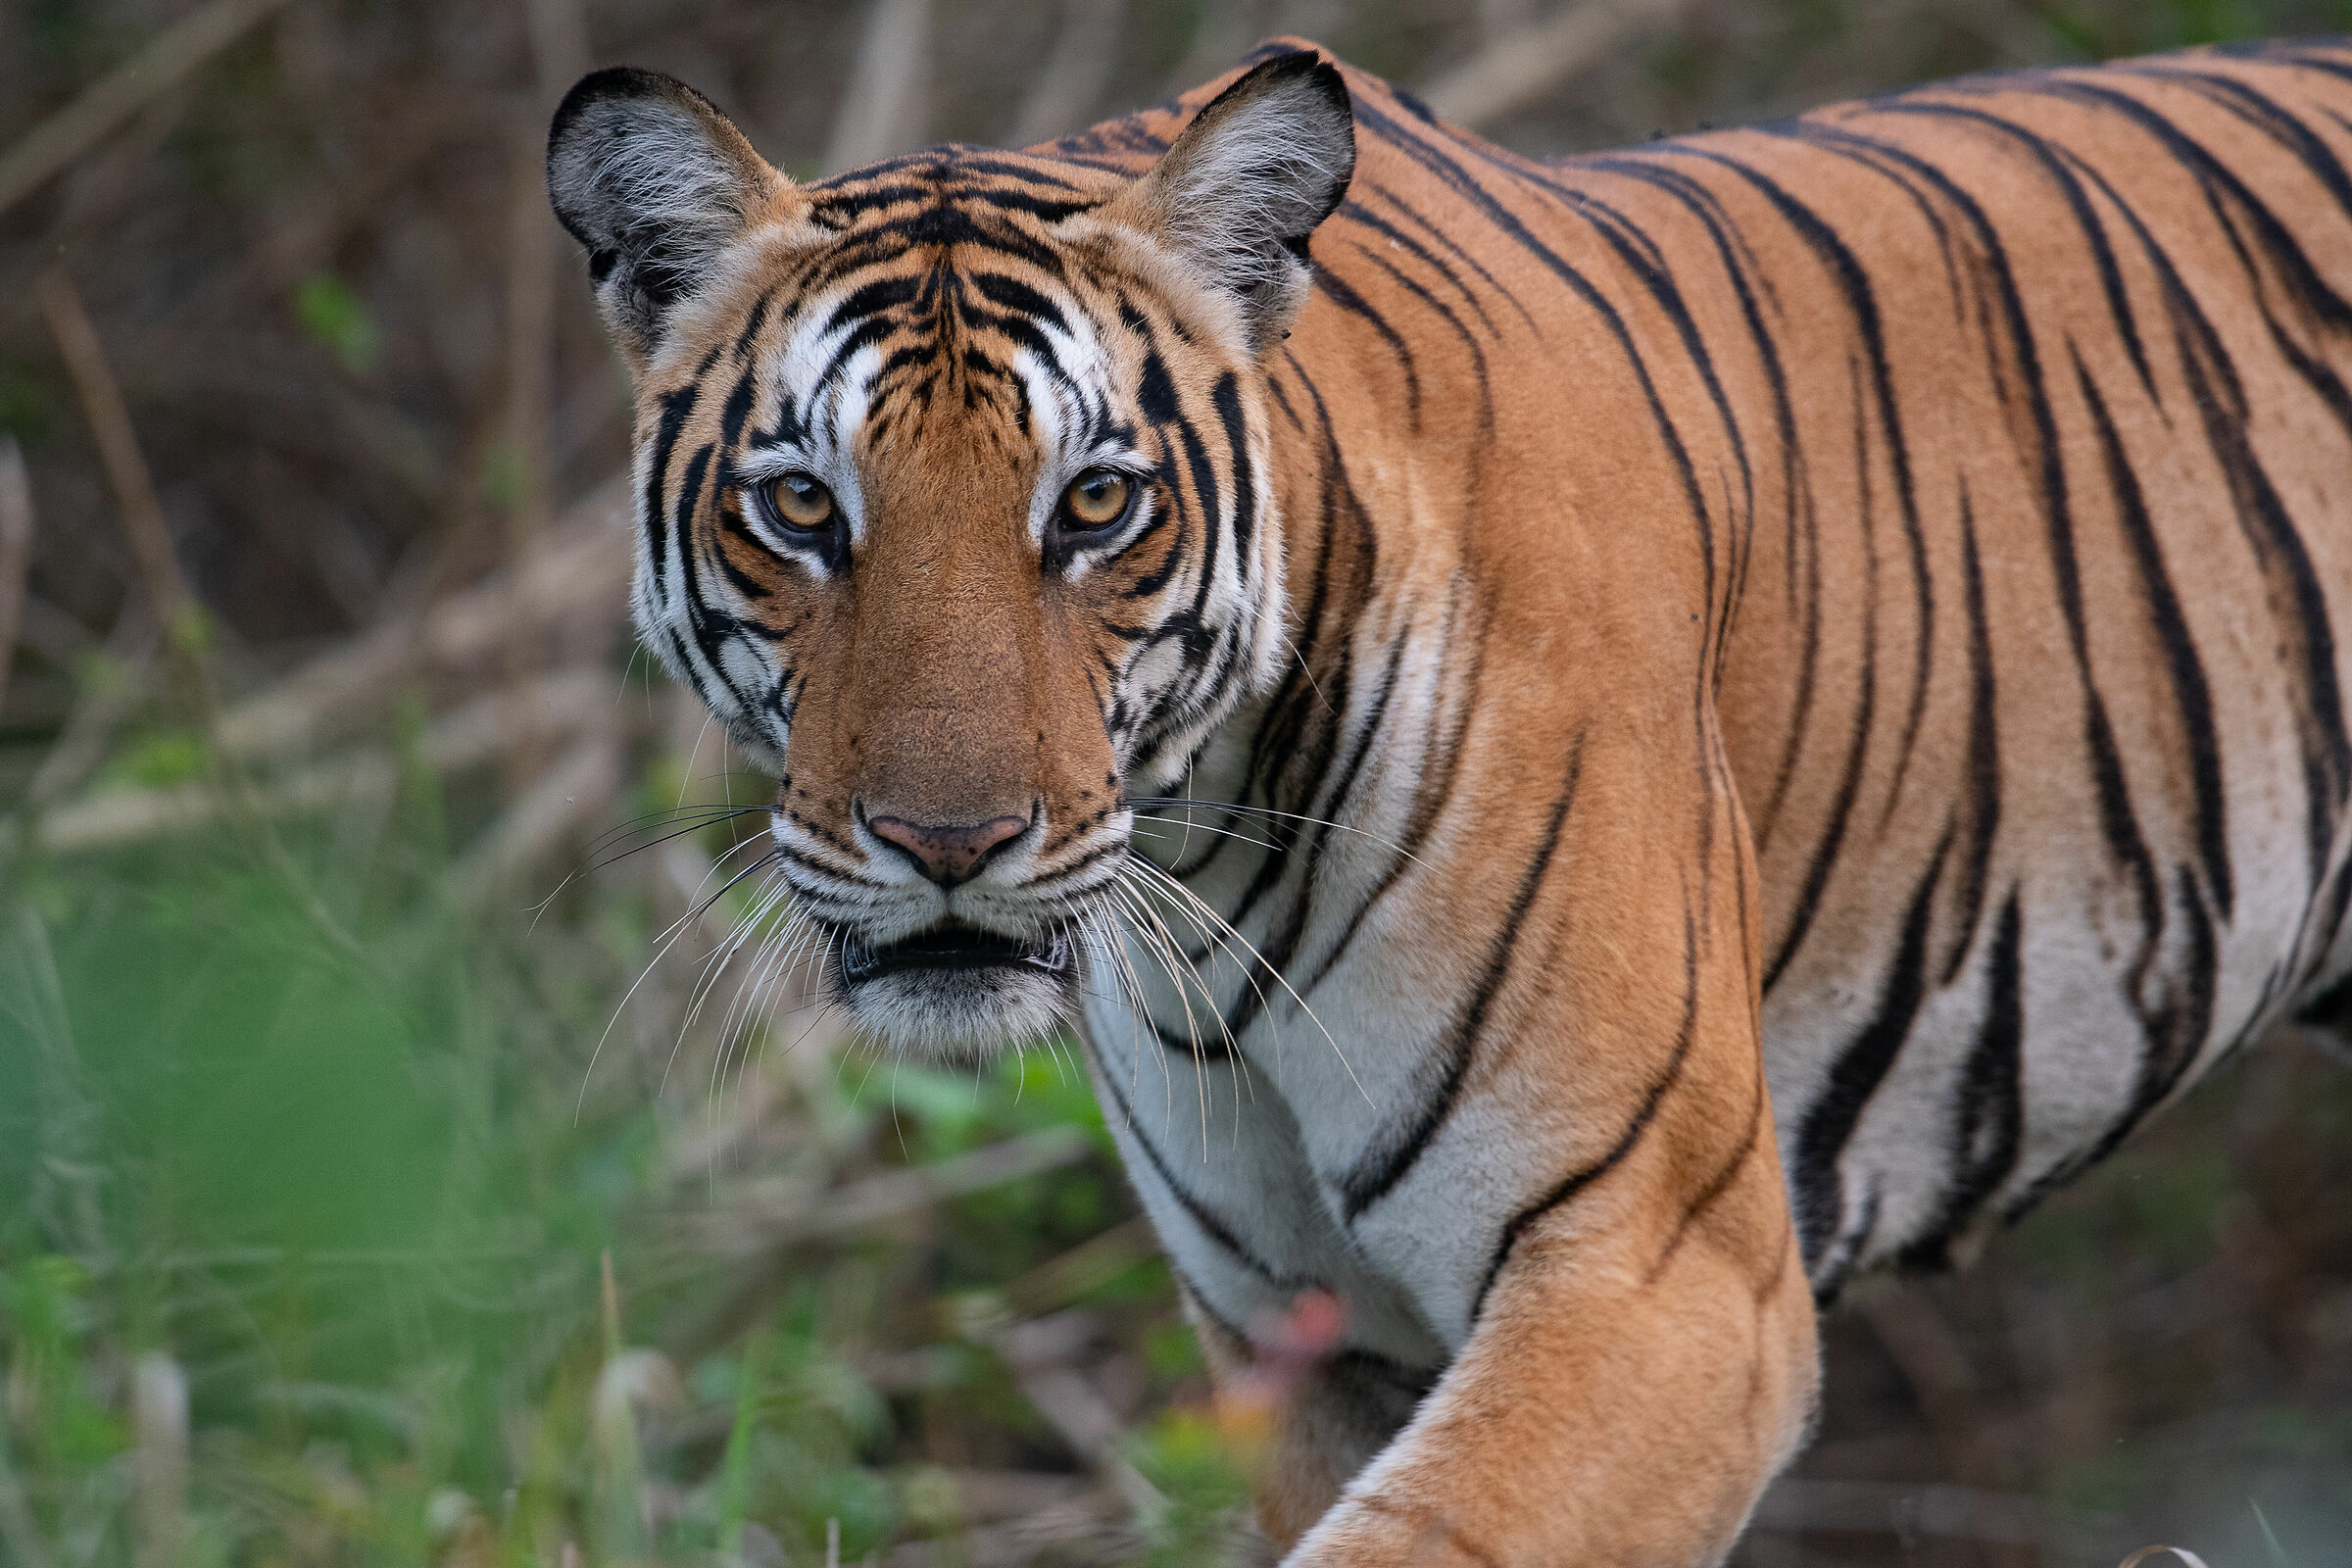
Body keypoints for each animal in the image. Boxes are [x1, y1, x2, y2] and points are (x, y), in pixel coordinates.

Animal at [548, 33, 2352, 1564]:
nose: (948, 846)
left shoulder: (1662, 1271)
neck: (1214, 863)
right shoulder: (1307, 1337)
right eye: (800, 506)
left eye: (1098, 503)